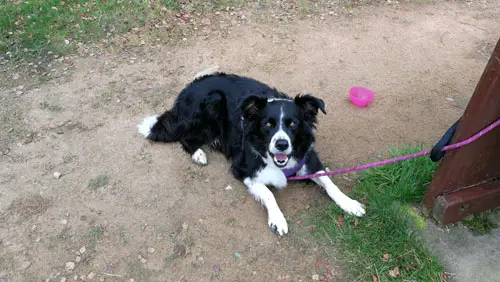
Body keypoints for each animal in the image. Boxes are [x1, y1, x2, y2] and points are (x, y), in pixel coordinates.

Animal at [139, 69, 366, 236]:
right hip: (211, 104)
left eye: (293, 124)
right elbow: (268, 193)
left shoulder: (308, 158)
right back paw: (198, 154)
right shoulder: (242, 169)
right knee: (185, 136)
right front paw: (277, 219)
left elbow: (329, 182)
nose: (282, 144)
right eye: (268, 124)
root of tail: (187, 89)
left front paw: (349, 203)